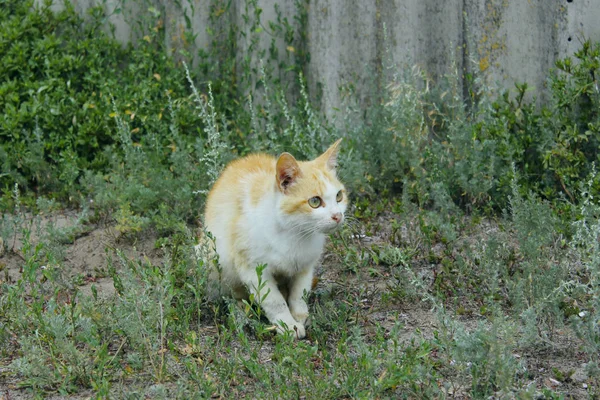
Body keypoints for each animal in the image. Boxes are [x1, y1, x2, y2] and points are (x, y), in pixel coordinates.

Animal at [199, 139, 346, 340]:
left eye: (339, 196)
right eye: (315, 201)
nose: (337, 216)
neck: (296, 234)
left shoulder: (306, 265)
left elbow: (299, 293)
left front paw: (300, 316)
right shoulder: (252, 269)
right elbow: (273, 301)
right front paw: (288, 325)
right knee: (229, 293)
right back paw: (241, 310)